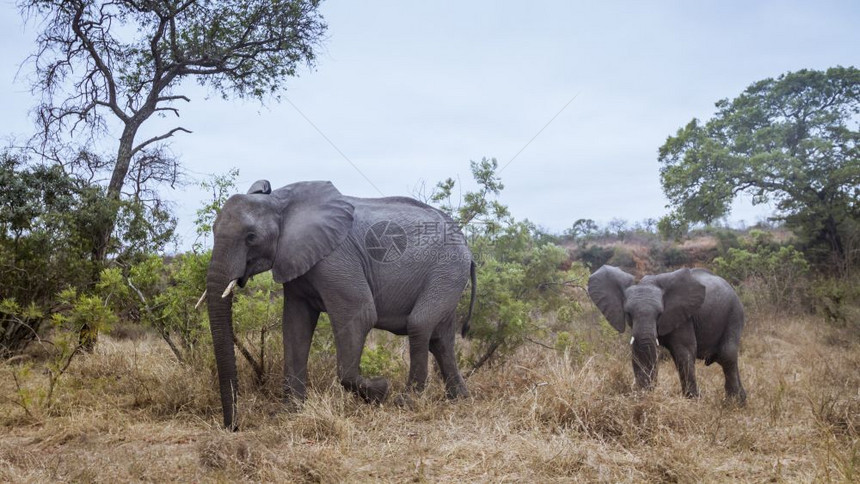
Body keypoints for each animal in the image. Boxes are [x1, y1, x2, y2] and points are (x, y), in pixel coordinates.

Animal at [208, 180, 478, 430]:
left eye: (251, 237)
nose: (233, 427)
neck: (280, 202)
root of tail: (467, 247)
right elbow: (295, 326)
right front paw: (290, 411)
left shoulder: (335, 258)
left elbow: (360, 315)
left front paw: (381, 390)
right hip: (449, 275)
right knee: (440, 339)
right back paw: (459, 398)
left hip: (448, 270)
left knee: (420, 325)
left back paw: (407, 401)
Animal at [588, 262, 744, 402]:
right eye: (628, 314)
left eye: (659, 314)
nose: (648, 389)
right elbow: (639, 350)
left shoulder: (683, 318)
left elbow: (684, 352)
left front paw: (693, 401)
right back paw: (741, 400)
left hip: (734, 313)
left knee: (726, 355)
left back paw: (732, 403)